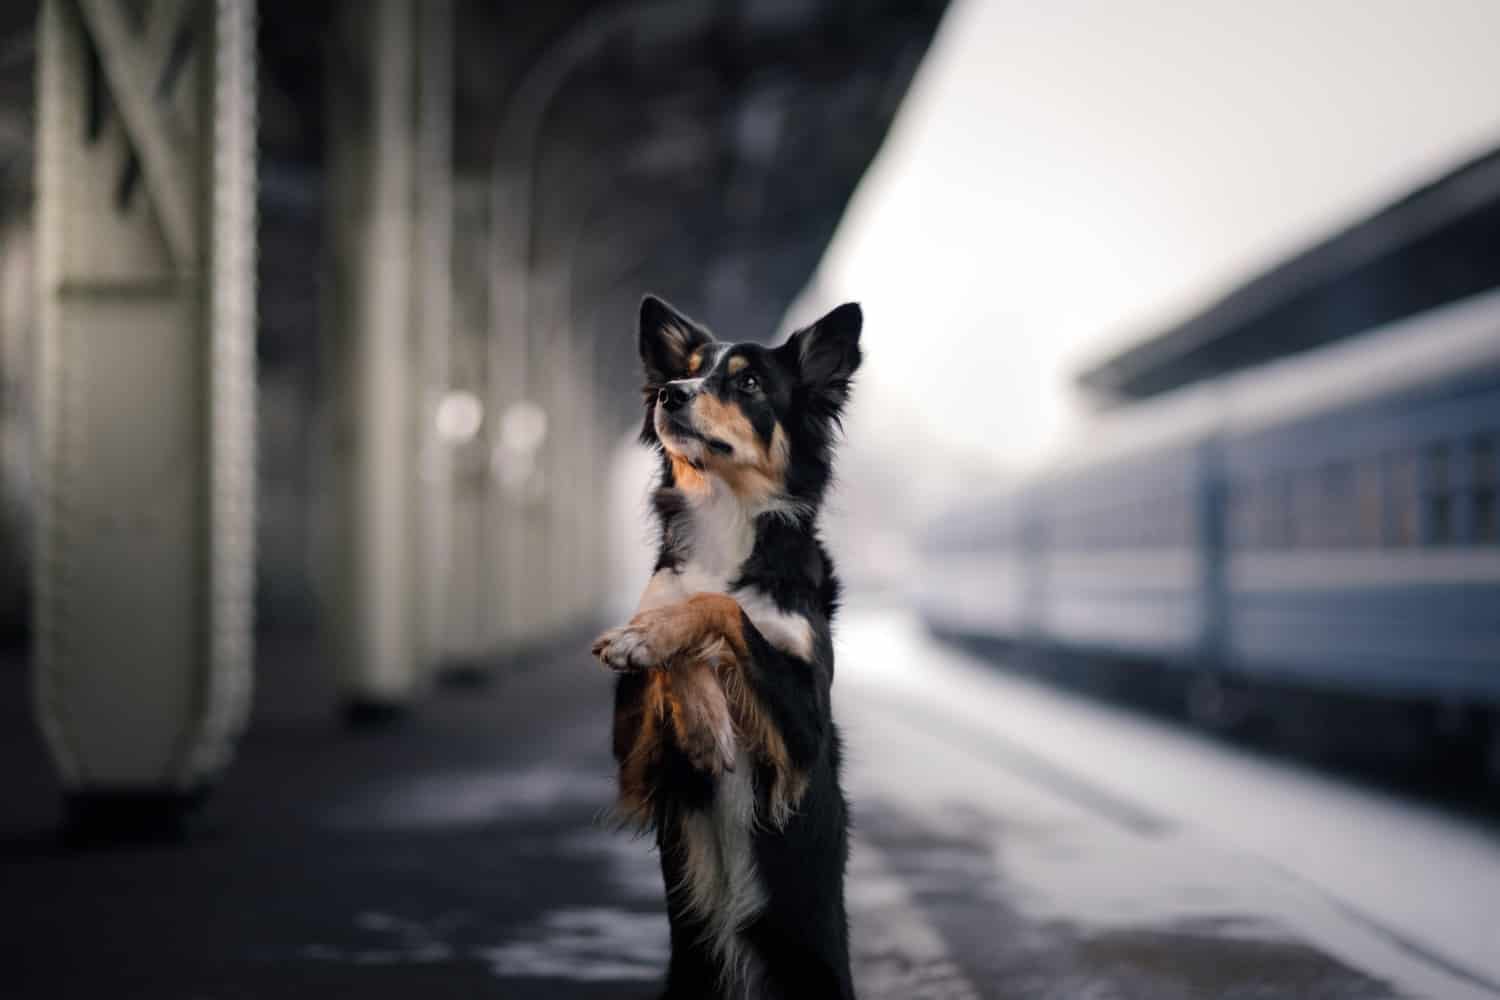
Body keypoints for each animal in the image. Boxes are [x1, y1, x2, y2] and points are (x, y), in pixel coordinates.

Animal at [591, 293, 864, 995]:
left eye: (749, 383)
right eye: (685, 372)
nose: (670, 393)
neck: (724, 516)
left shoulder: (804, 730)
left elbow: (721, 607)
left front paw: (667, 643)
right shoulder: (632, 754)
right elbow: (674, 624)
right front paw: (700, 714)